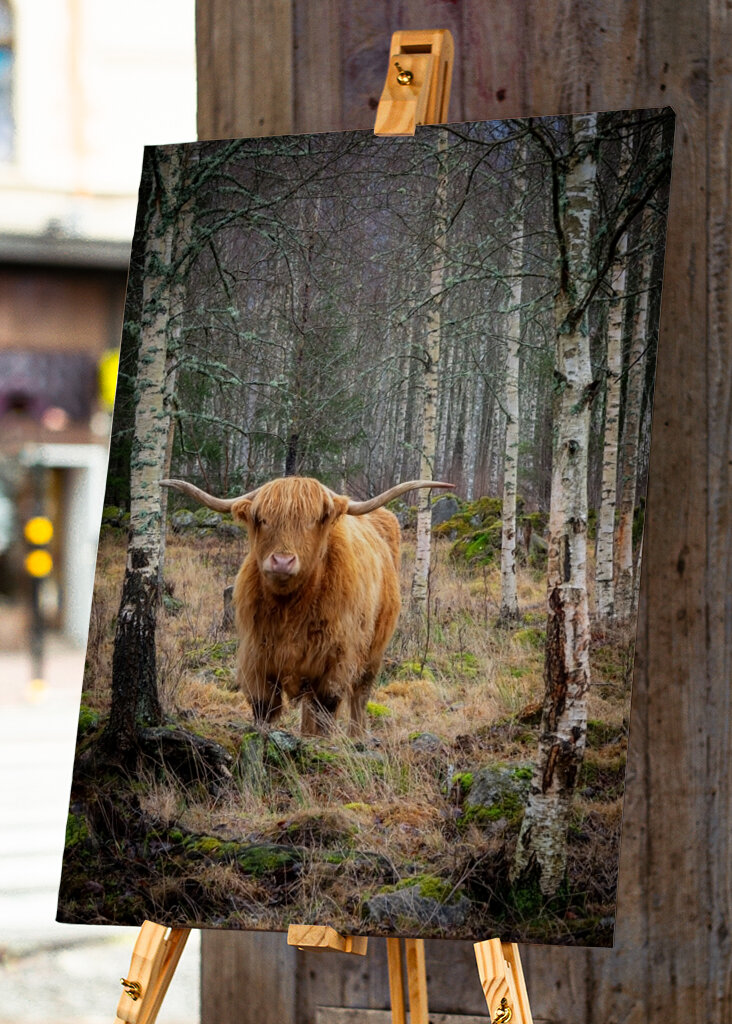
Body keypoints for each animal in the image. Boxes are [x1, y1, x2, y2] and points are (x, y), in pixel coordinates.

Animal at [161, 476, 452, 736]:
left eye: (312, 521)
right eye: (262, 520)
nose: (281, 561)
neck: (290, 608)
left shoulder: (336, 659)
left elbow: (326, 710)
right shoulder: (256, 656)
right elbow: (264, 708)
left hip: (374, 650)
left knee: (360, 694)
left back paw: (357, 738)